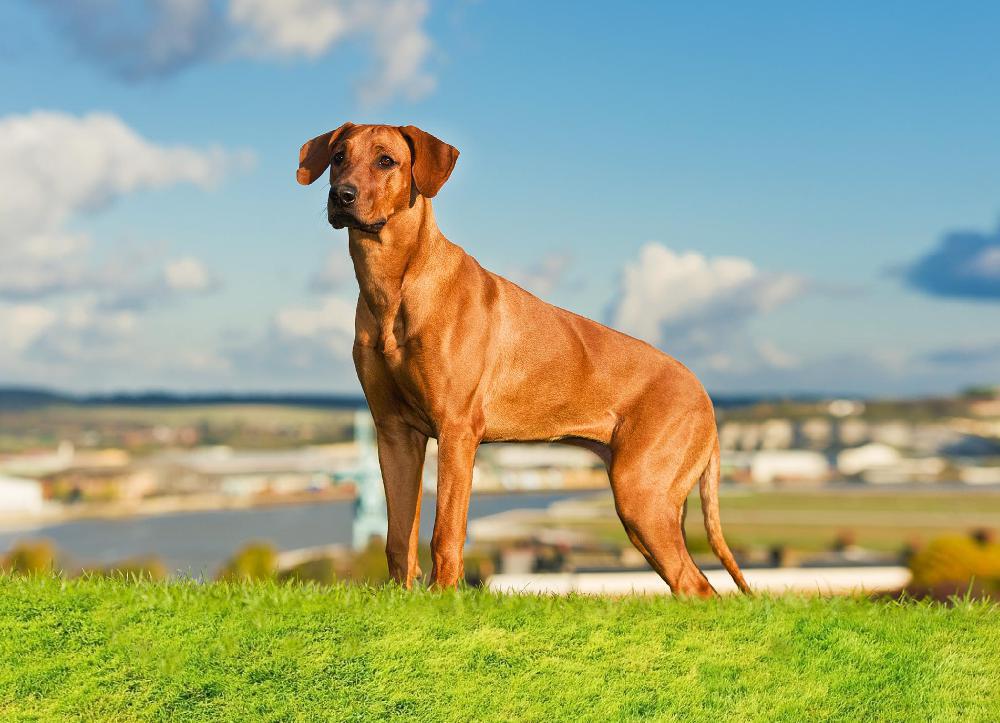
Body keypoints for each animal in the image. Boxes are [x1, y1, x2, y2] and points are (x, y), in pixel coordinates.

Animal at [296, 124, 752, 596]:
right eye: (338, 156)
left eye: (386, 160)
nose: (341, 195)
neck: (393, 285)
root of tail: (705, 398)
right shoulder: (394, 432)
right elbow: (398, 538)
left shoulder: (457, 430)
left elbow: (445, 533)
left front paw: (443, 600)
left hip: (641, 493)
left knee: (696, 585)